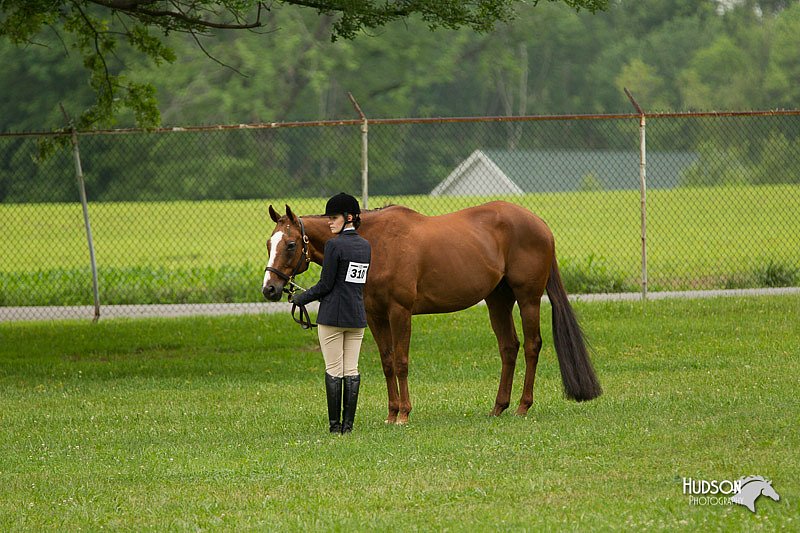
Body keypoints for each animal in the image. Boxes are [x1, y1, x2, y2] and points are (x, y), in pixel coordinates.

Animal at [262, 201, 600, 424]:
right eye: (268, 243)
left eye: (290, 244)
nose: (270, 289)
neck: (376, 243)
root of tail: (539, 224)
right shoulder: (375, 315)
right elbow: (387, 363)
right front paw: (391, 413)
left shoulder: (399, 312)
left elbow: (401, 362)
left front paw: (404, 414)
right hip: (498, 300)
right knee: (509, 347)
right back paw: (498, 407)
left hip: (527, 298)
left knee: (531, 346)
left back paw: (522, 406)